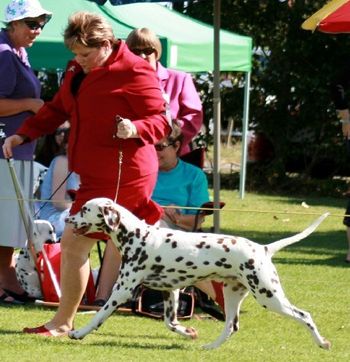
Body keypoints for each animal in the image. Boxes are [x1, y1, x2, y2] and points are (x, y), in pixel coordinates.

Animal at [66, 198, 330, 350]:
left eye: (84, 209)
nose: (68, 218)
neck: (138, 236)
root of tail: (264, 248)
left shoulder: (121, 291)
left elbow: (98, 316)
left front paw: (78, 333)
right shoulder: (170, 292)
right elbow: (171, 323)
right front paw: (189, 333)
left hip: (269, 296)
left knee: (304, 315)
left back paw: (322, 343)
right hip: (233, 295)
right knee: (231, 326)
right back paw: (209, 348)